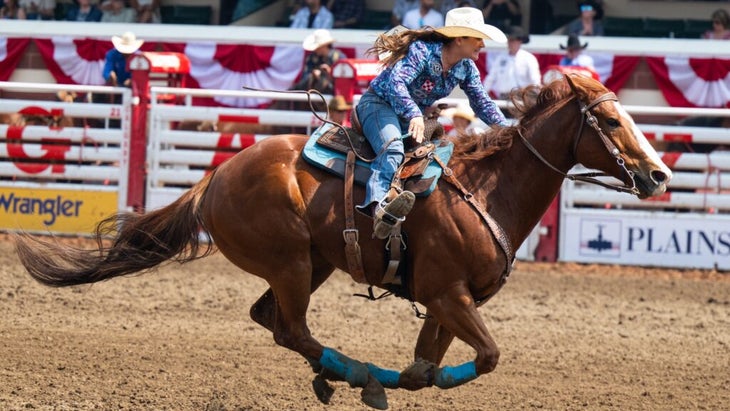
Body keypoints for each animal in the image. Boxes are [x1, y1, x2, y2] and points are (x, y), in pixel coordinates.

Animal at [12, 75, 672, 410]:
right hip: (289, 264)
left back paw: (342, 376)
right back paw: (357, 375)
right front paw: (395, 379)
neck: (487, 190)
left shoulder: (447, 304)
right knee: (292, 328)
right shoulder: (449, 295)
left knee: (272, 321)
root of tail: (214, 176)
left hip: (314, 263)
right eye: (609, 122)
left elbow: (427, 366)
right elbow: (485, 356)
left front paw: (410, 376)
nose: (659, 174)